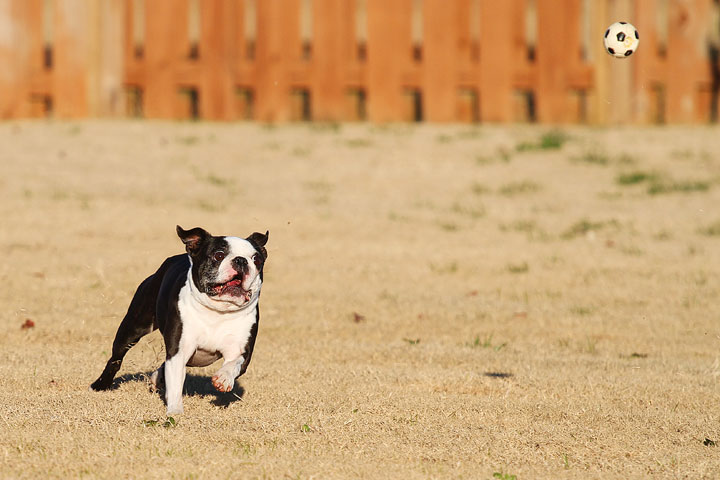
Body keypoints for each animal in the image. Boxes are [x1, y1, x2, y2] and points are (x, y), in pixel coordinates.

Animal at [90, 227, 268, 414]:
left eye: (256, 259)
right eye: (219, 255)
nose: (241, 260)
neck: (217, 312)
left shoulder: (240, 351)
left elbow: (234, 364)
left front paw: (223, 379)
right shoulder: (179, 351)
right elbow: (175, 384)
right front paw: (175, 411)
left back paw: (158, 378)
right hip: (133, 327)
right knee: (116, 358)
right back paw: (100, 385)